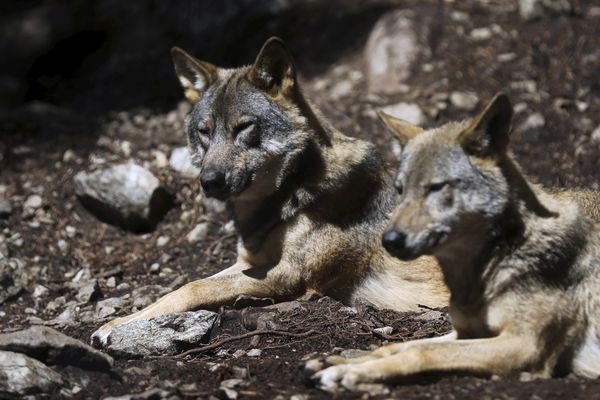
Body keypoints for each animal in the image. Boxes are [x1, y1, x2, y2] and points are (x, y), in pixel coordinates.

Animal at [91, 36, 450, 344]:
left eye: (244, 127)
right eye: (205, 132)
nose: (209, 181)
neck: (292, 192)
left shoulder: (288, 274)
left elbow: (192, 287)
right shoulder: (249, 260)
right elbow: (179, 287)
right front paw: (118, 323)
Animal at [312, 92, 600, 390]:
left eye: (436, 187)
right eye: (400, 190)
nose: (389, 240)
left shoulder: (525, 345)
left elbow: (419, 352)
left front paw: (350, 373)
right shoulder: (465, 332)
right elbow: (399, 346)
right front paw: (339, 362)